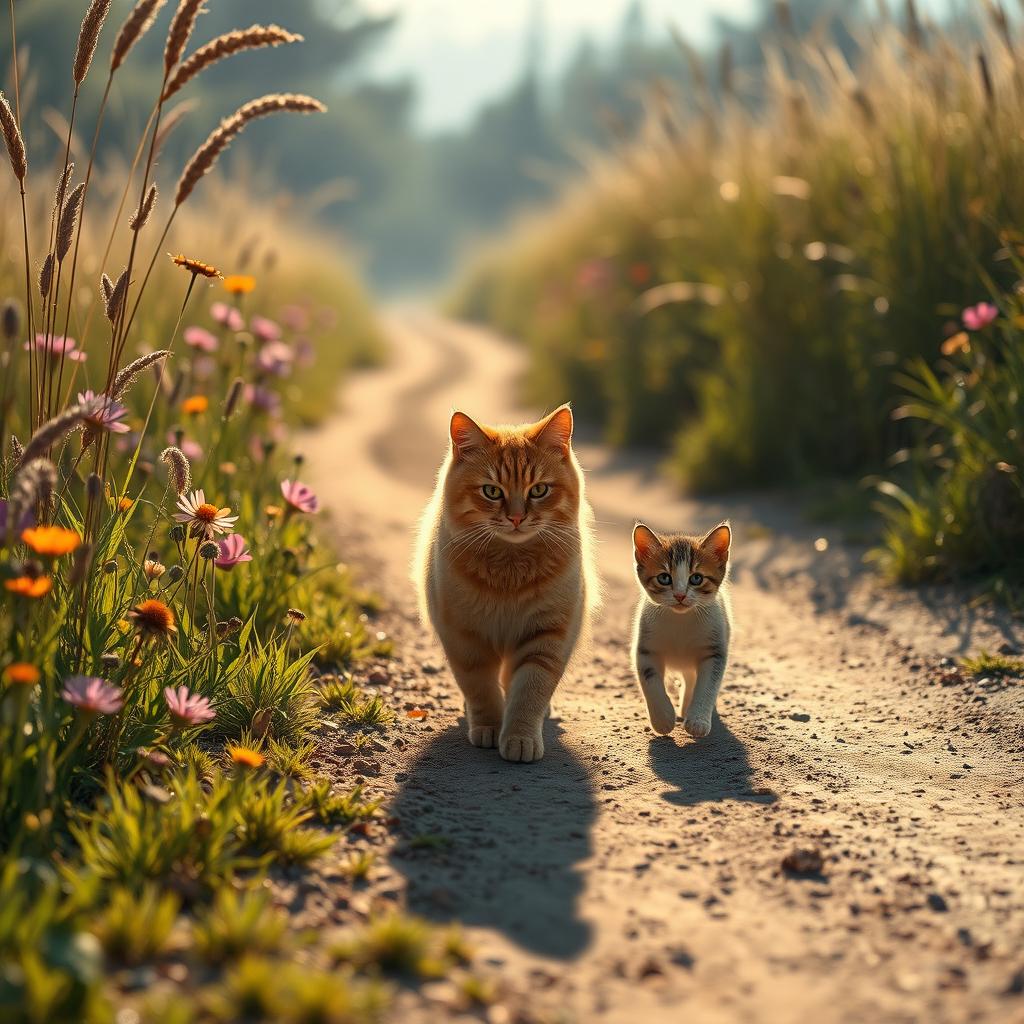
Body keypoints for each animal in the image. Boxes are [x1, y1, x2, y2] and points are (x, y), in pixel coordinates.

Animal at [409, 403, 598, 765]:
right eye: (492, 491)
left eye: (538, 490)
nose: (516, 517)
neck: (510, 567)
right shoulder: (465, 637)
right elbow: (480, 688)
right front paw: (490, 727)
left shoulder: (548, 635)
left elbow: (529, 691)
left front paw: (520, 736)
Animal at [626, 524, 733, 741]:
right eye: (664, 578)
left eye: (697, 578)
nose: (680, 595)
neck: (681, 620)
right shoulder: (645, 648)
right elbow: (650, 681)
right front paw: (663, 719)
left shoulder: (715, 649)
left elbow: (707, 685)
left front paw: (698, 720)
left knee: (692, 677)